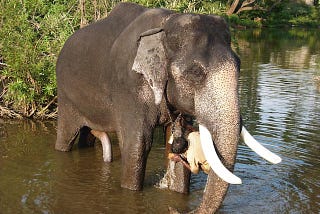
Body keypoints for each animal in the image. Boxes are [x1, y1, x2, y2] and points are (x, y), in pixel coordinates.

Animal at [56, 2, 282, 213]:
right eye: (195, 73)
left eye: (239, 64)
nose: (176, 209)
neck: (166, 24)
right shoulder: (128, 87)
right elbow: (137, 145)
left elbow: (178, 142)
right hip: (65, 96)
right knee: (66, 137)